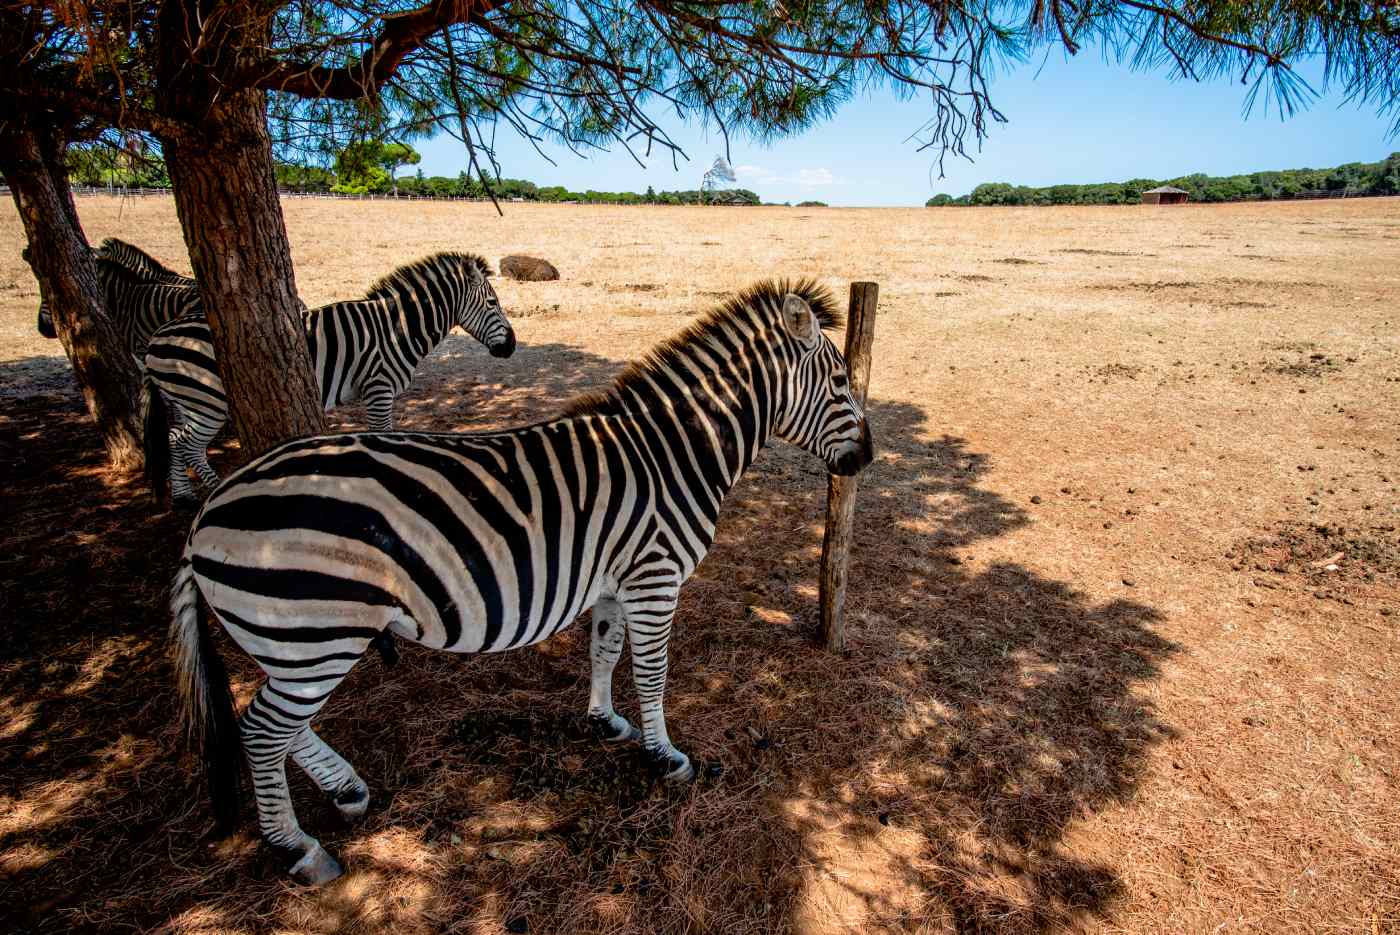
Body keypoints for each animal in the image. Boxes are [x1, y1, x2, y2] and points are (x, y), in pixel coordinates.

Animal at [142, 251, 520, 506]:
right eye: (492, 302)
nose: (513, 346)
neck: (397, 329)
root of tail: (155, 340)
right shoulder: (379, 388)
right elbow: (383, 433)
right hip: (208, 401)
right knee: (187, 444)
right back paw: (212, 490)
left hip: (185, 400)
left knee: (174, 438)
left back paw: (184, 494)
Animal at [169, 277, 868, 884]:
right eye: (840, 382)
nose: (867, 458)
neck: (675, 454)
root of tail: (208, 513)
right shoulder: (654, 577)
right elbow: (652, 673)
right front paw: (663, 755)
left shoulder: (614, 582)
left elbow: (604, 651)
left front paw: (604, 721)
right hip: (315, 632)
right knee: (264, 731)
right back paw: (298, 849)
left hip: (290, 642)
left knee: (283, 727)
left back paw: (346, 790)